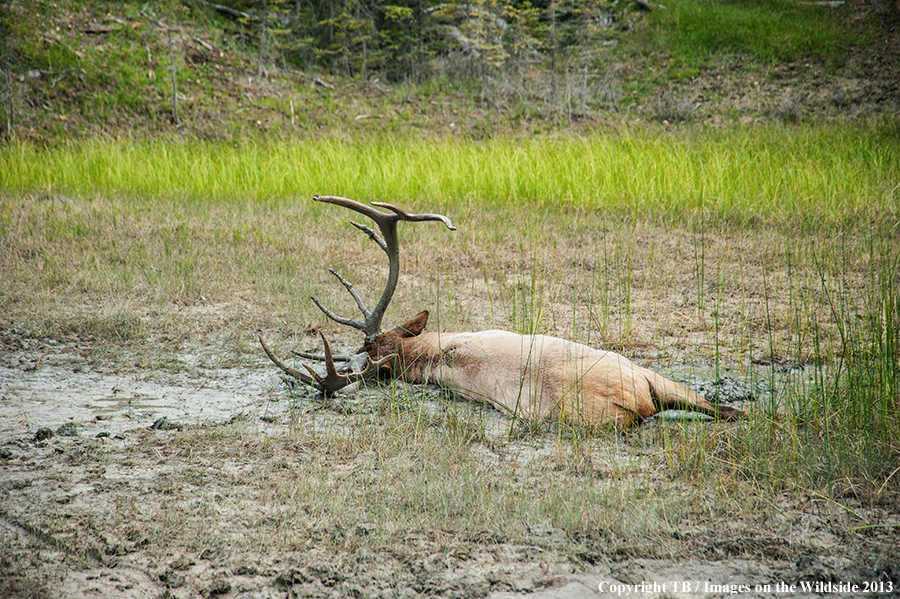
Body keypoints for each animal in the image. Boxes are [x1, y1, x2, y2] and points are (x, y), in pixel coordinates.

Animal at [259, 196, 746, 428]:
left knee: (722, 408)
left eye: (372, 342)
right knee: (719, 409)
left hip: (647, 373)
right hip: (639, 379)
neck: (431, 352)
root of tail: (635, 399)